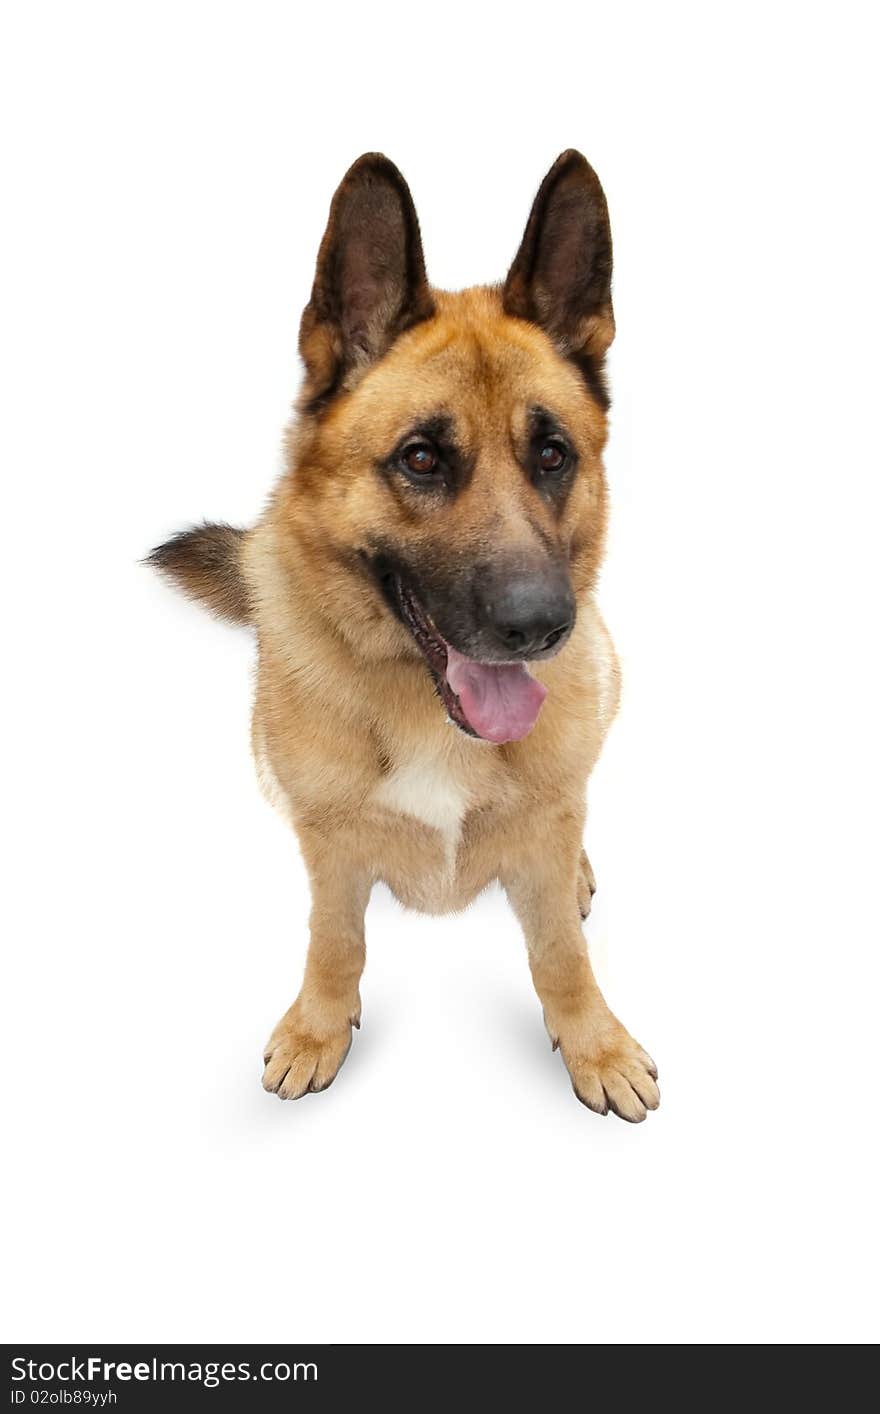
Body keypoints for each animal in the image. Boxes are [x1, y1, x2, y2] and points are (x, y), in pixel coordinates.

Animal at [153, 149, 662, 1119]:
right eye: (422, 459)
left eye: (554, 455)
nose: (540, 627)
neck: (428, 712)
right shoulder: (330, 848)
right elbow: (335, 938)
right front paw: (318, 1027)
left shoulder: (546, 832)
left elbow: (560, 952)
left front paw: (595, 1044)